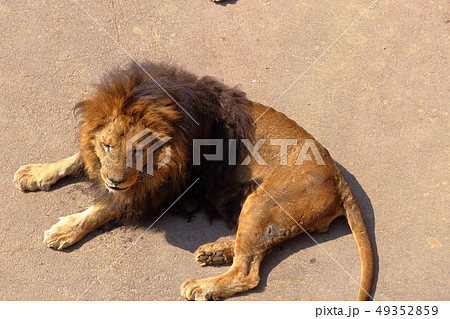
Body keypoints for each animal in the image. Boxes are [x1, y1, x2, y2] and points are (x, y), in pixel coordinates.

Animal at [13, 61, 372, 302]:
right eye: (107, 146)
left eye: (137, 151)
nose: (114, 180)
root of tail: (338, 175)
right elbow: (76, 158)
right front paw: (35, 173)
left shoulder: (154, 192)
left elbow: (101, 208)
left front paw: (65, 230)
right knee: (251, 247)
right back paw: (215, 252)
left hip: (263, 201)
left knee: (248, 272)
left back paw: (203, 286)